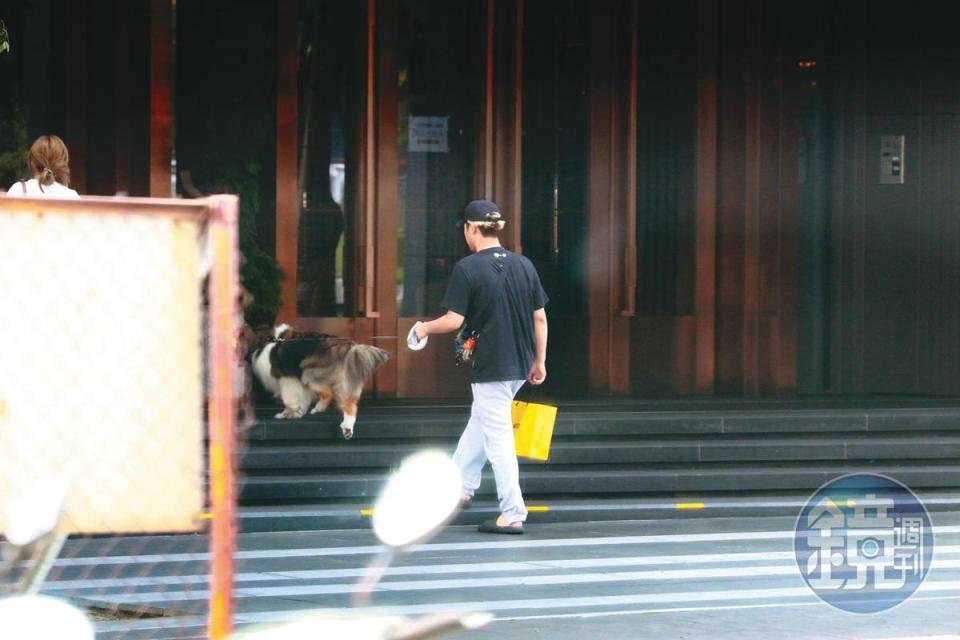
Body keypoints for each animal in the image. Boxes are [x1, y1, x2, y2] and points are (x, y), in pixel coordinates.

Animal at [253, 324, 392, 440]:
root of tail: (347, 346)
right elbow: (301, 400)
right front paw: (294, 413)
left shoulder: (288, 378)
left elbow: (289, 399)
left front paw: (289, 412)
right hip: (345, 381)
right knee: (350, 406)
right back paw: (347, 428)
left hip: (308, 373)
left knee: (328, 394)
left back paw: (318, 409)